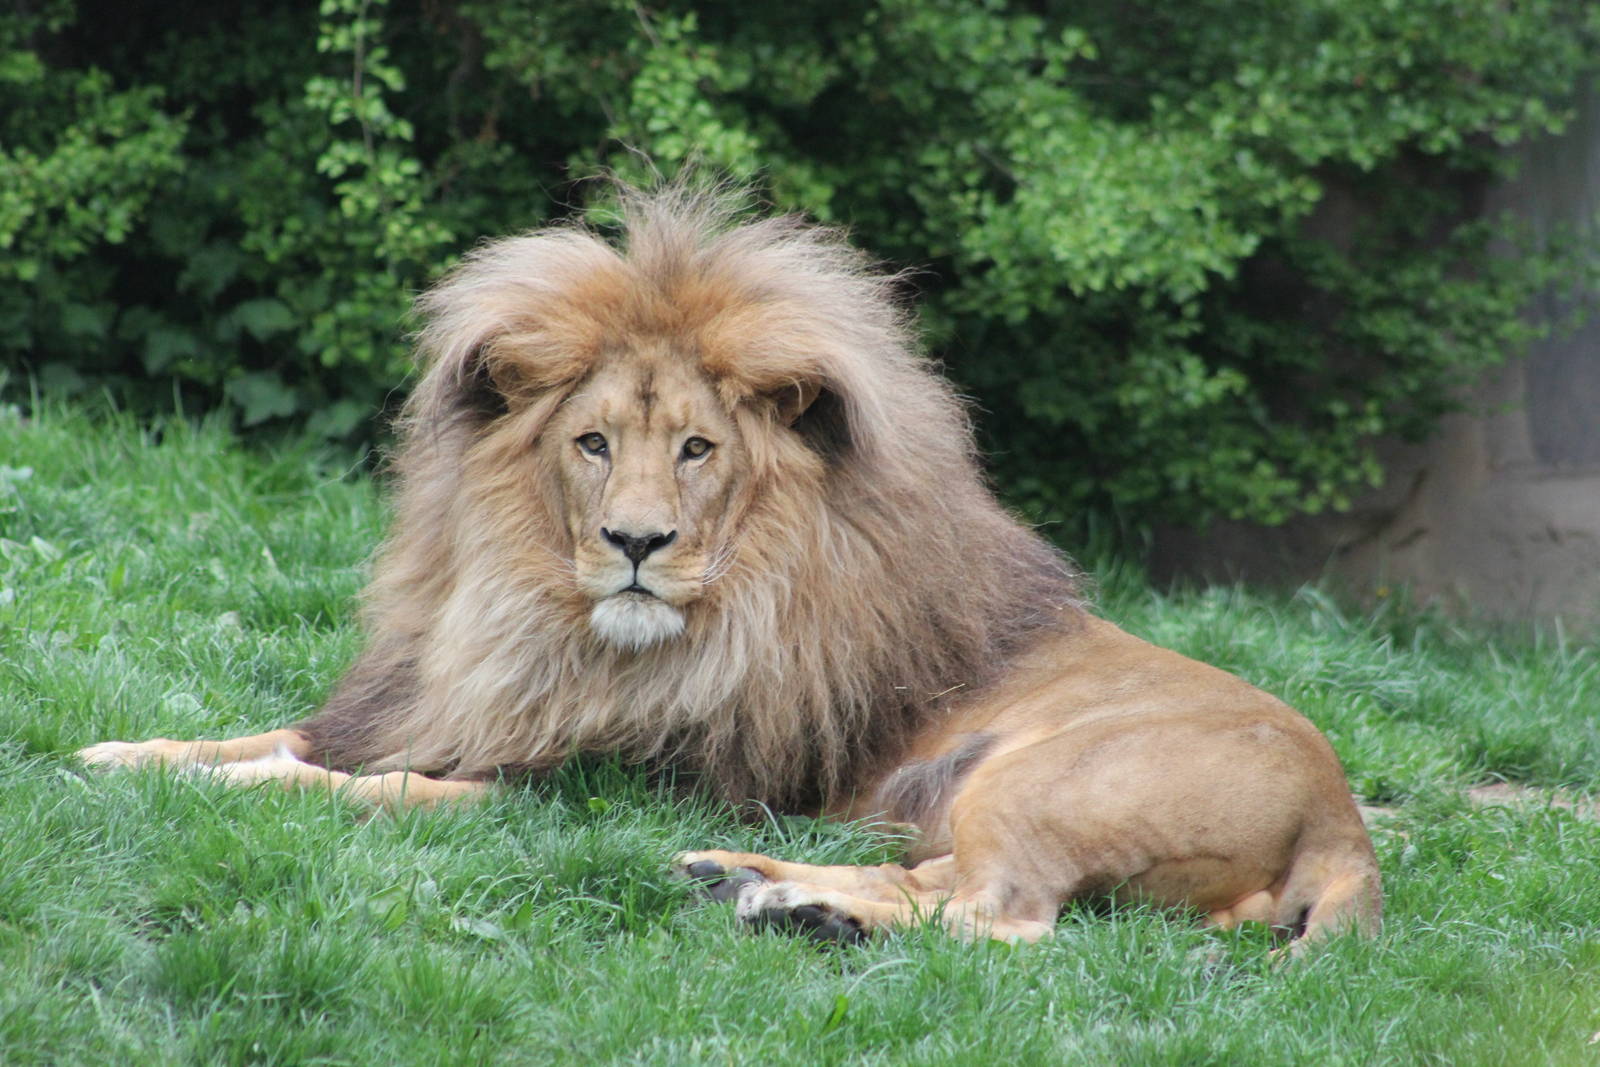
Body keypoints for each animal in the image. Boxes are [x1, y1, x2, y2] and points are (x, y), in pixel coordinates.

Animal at [79, 185, 1381, 948]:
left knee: (998, 916)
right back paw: (747, 879)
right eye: (594, 442)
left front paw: (243, 787)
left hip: (1038, 781)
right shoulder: (442, 708)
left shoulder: (599, 781)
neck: (545, 622)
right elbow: (262, 736)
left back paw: (791, 903)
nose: (636, 543)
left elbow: (363, 786)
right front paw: (120, 754)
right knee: (926, 877)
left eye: (698, 450)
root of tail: (1342, 822)